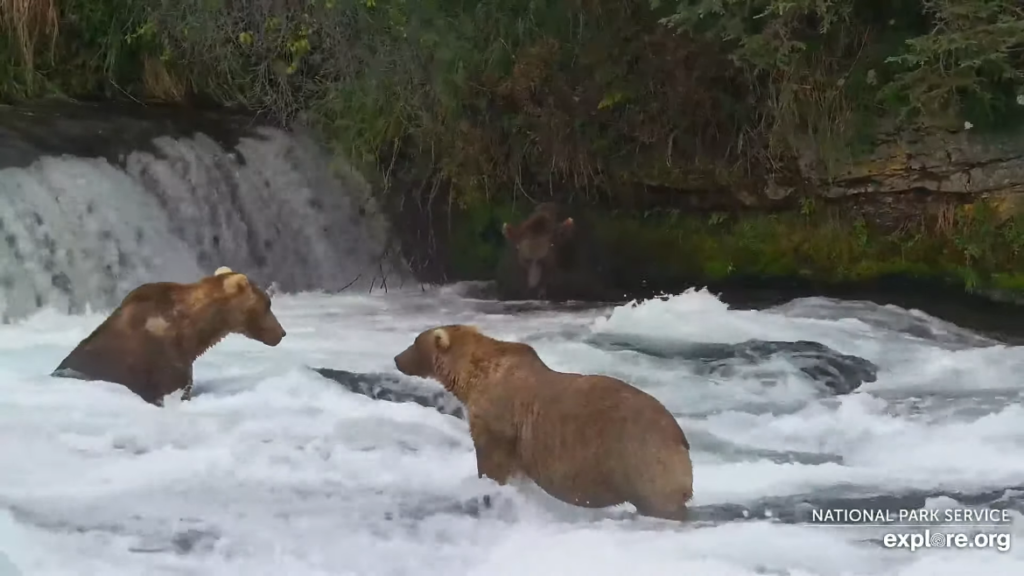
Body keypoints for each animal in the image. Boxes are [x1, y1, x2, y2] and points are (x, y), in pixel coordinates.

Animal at [391, 323, 696, 520]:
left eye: (414, 342)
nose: (395, 358)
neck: (473, 377)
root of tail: (679, 436)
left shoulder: (497, 418)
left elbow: (491, 461)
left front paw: (488, 489)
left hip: (643, 460)